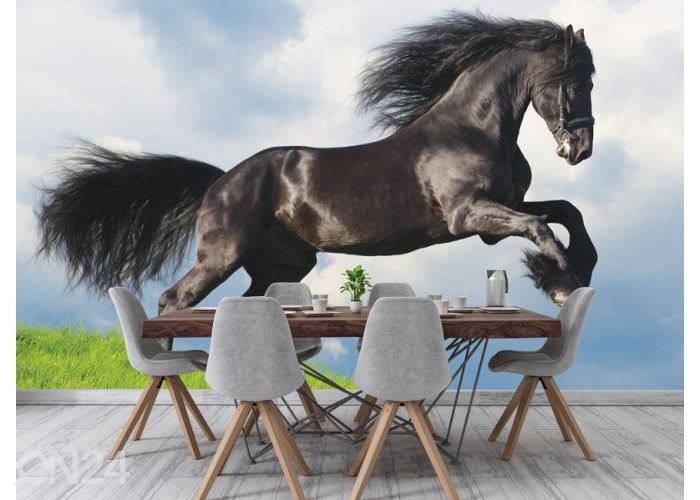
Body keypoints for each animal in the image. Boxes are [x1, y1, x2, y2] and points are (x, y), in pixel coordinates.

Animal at [37, 13, 597, 313]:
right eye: (574, 81)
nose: (580, 150)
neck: (471, 129)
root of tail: (221, 181)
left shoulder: (499, 213)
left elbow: (566, 211)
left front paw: (576, 271)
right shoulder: (469, 215)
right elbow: (541, 228)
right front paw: (563, 285)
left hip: (282, 263)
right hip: (222, 254)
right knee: (174, 301)